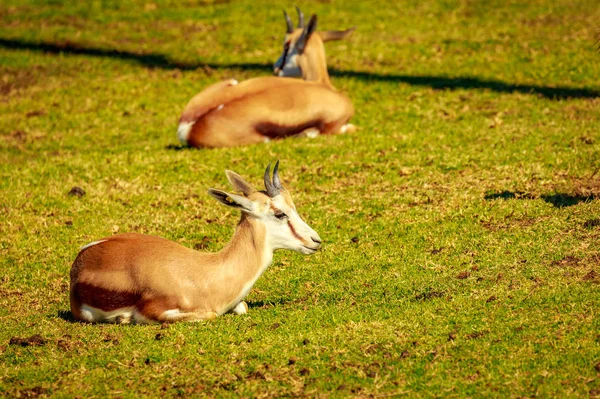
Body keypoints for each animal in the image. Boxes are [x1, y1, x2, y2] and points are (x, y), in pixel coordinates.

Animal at [68, 163, 322, 324]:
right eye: (279, 213)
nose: (316, 240)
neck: (207, 275)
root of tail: (81, 258)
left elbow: (242, 307)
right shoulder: (153, 311)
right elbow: (209, 314)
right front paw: (123, 318)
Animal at [178, 7, 356, 148]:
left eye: (286, 47)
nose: (275, 69)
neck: (322, 84)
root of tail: (189, 128)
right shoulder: (335, 126)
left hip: (231, 82)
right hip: (264, 139)